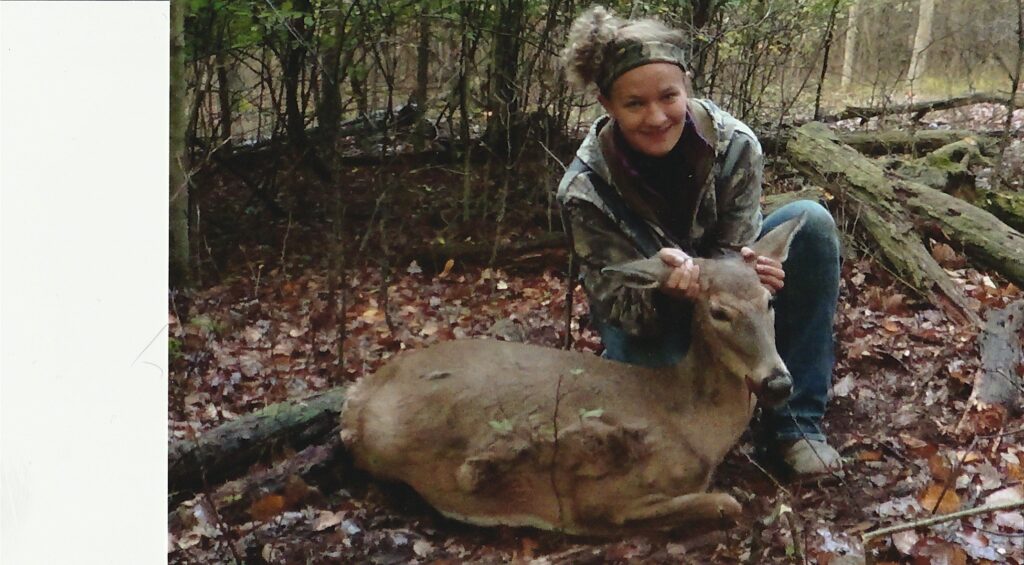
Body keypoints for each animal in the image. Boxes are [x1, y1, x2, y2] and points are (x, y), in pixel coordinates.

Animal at [340, 214, 804, 536]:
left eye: (769, 301)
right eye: (719, 311)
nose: (778, 382)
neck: (691, 423)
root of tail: (358, 400)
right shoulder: (602, 494)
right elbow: (726, 503)